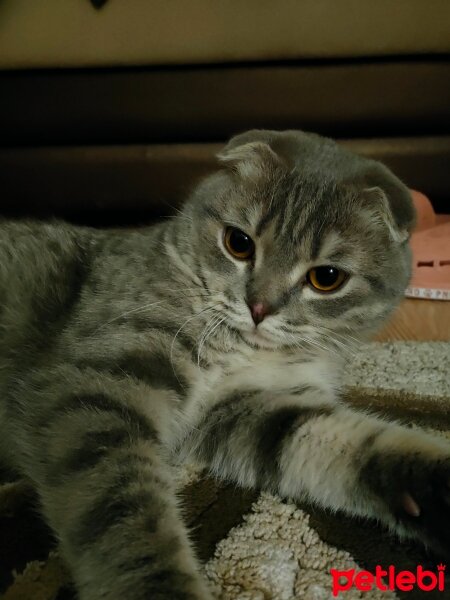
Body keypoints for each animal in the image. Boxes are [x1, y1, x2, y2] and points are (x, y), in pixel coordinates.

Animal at [0, 131, 448, 600]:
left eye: (326, 278)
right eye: (239, 243)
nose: (259, 308)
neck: (247, 349)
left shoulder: (256, 407)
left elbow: (359, 443)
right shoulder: (97, 386)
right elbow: (126, 519)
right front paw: (162, 588)